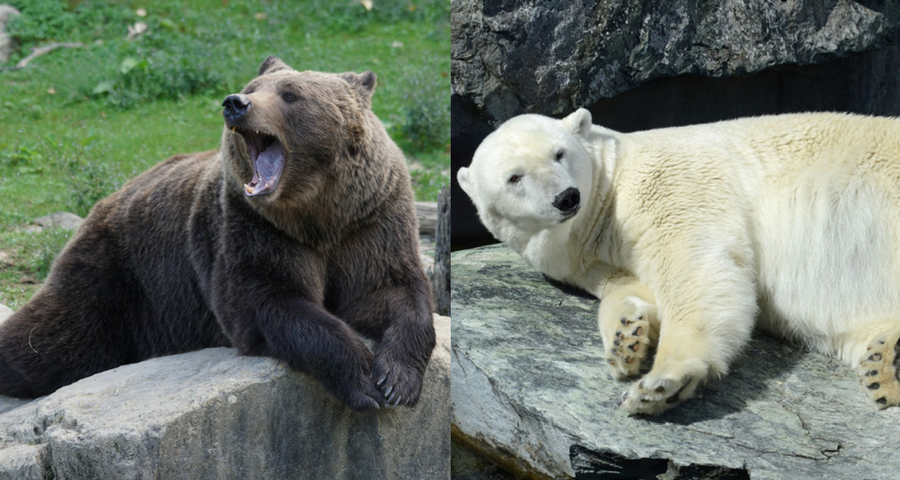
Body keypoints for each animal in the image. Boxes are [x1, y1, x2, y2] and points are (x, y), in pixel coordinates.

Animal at [0, 55, 436, 408]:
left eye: (291, 94)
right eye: (253, 88)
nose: (235, 104)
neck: (316, 214)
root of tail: (107, 200)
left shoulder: (370, 220)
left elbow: (391, 290)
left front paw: (396, 380)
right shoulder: (251, 227)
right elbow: (269, 300)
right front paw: (361, 379)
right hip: (120, 273)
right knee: (53, 340)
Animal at [460, 108, 900, 412]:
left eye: (560, 153)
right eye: (514, 177)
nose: (566, 197)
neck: (606, 194)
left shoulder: (668, 183)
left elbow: (693, 261)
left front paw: (660, 384)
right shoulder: (587, 258)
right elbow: (627, 287)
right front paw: (626, 341)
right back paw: (885, 362)